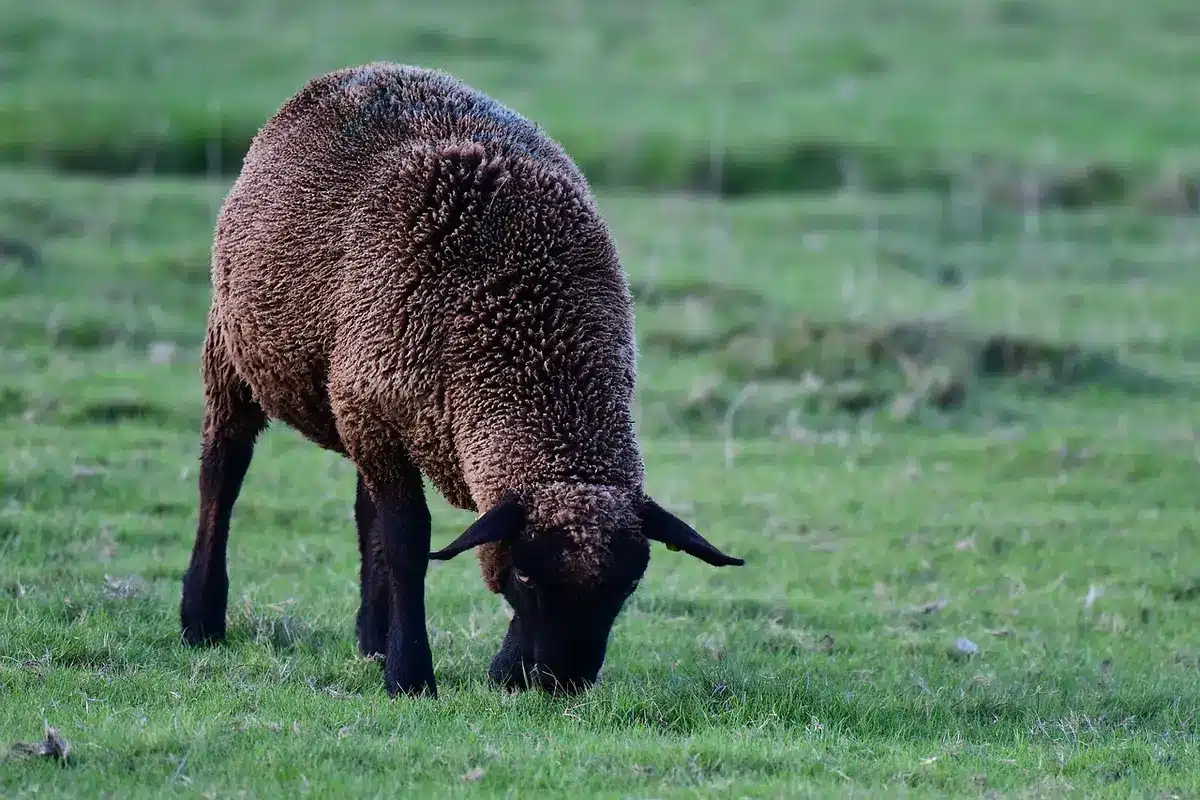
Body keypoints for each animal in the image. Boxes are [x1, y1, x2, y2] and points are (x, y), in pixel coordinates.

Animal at [180, 62, 745, 698]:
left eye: (626, 588)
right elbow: (408, 542)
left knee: (363, 511)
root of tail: (366, 68)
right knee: (222, 471)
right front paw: (410, 675)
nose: (559, 683)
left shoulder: (377, 409)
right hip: (237, 349)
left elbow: (392, 531)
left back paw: (371, 639)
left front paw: (419, 660)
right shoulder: (378, 412)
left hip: (352, 396)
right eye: (526, 575)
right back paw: (202, 619)